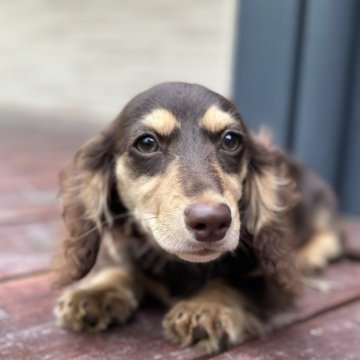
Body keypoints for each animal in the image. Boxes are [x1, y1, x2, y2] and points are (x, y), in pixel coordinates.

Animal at [51, 81, 344, 352]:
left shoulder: (270, 285)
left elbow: (236, 283)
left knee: (334, 234)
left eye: (230, 140)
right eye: (146, 143)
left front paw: (207, 306)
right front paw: (95, 291)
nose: (213, 221)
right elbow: (121, 266)